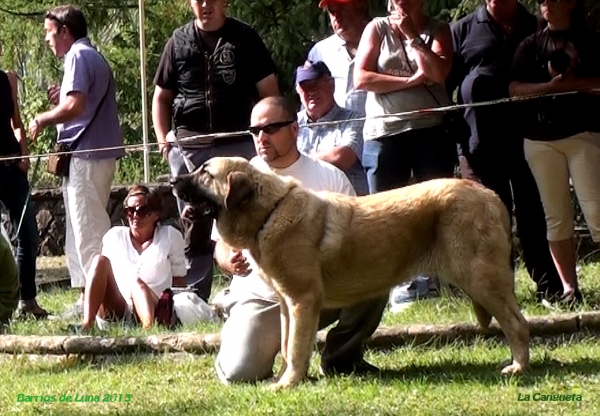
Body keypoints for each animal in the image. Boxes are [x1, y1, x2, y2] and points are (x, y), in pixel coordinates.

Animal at [170, 157, 528, 390]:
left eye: (205, 173)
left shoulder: (302, 300)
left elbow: (296, 348)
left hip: (481, 280)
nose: (171, 182)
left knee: (517, 324)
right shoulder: (288, 305)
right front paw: (287, 377)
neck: (268, 212)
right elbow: (287, 346)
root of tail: (492, 196)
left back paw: (518, 367)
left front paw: (287, 384)